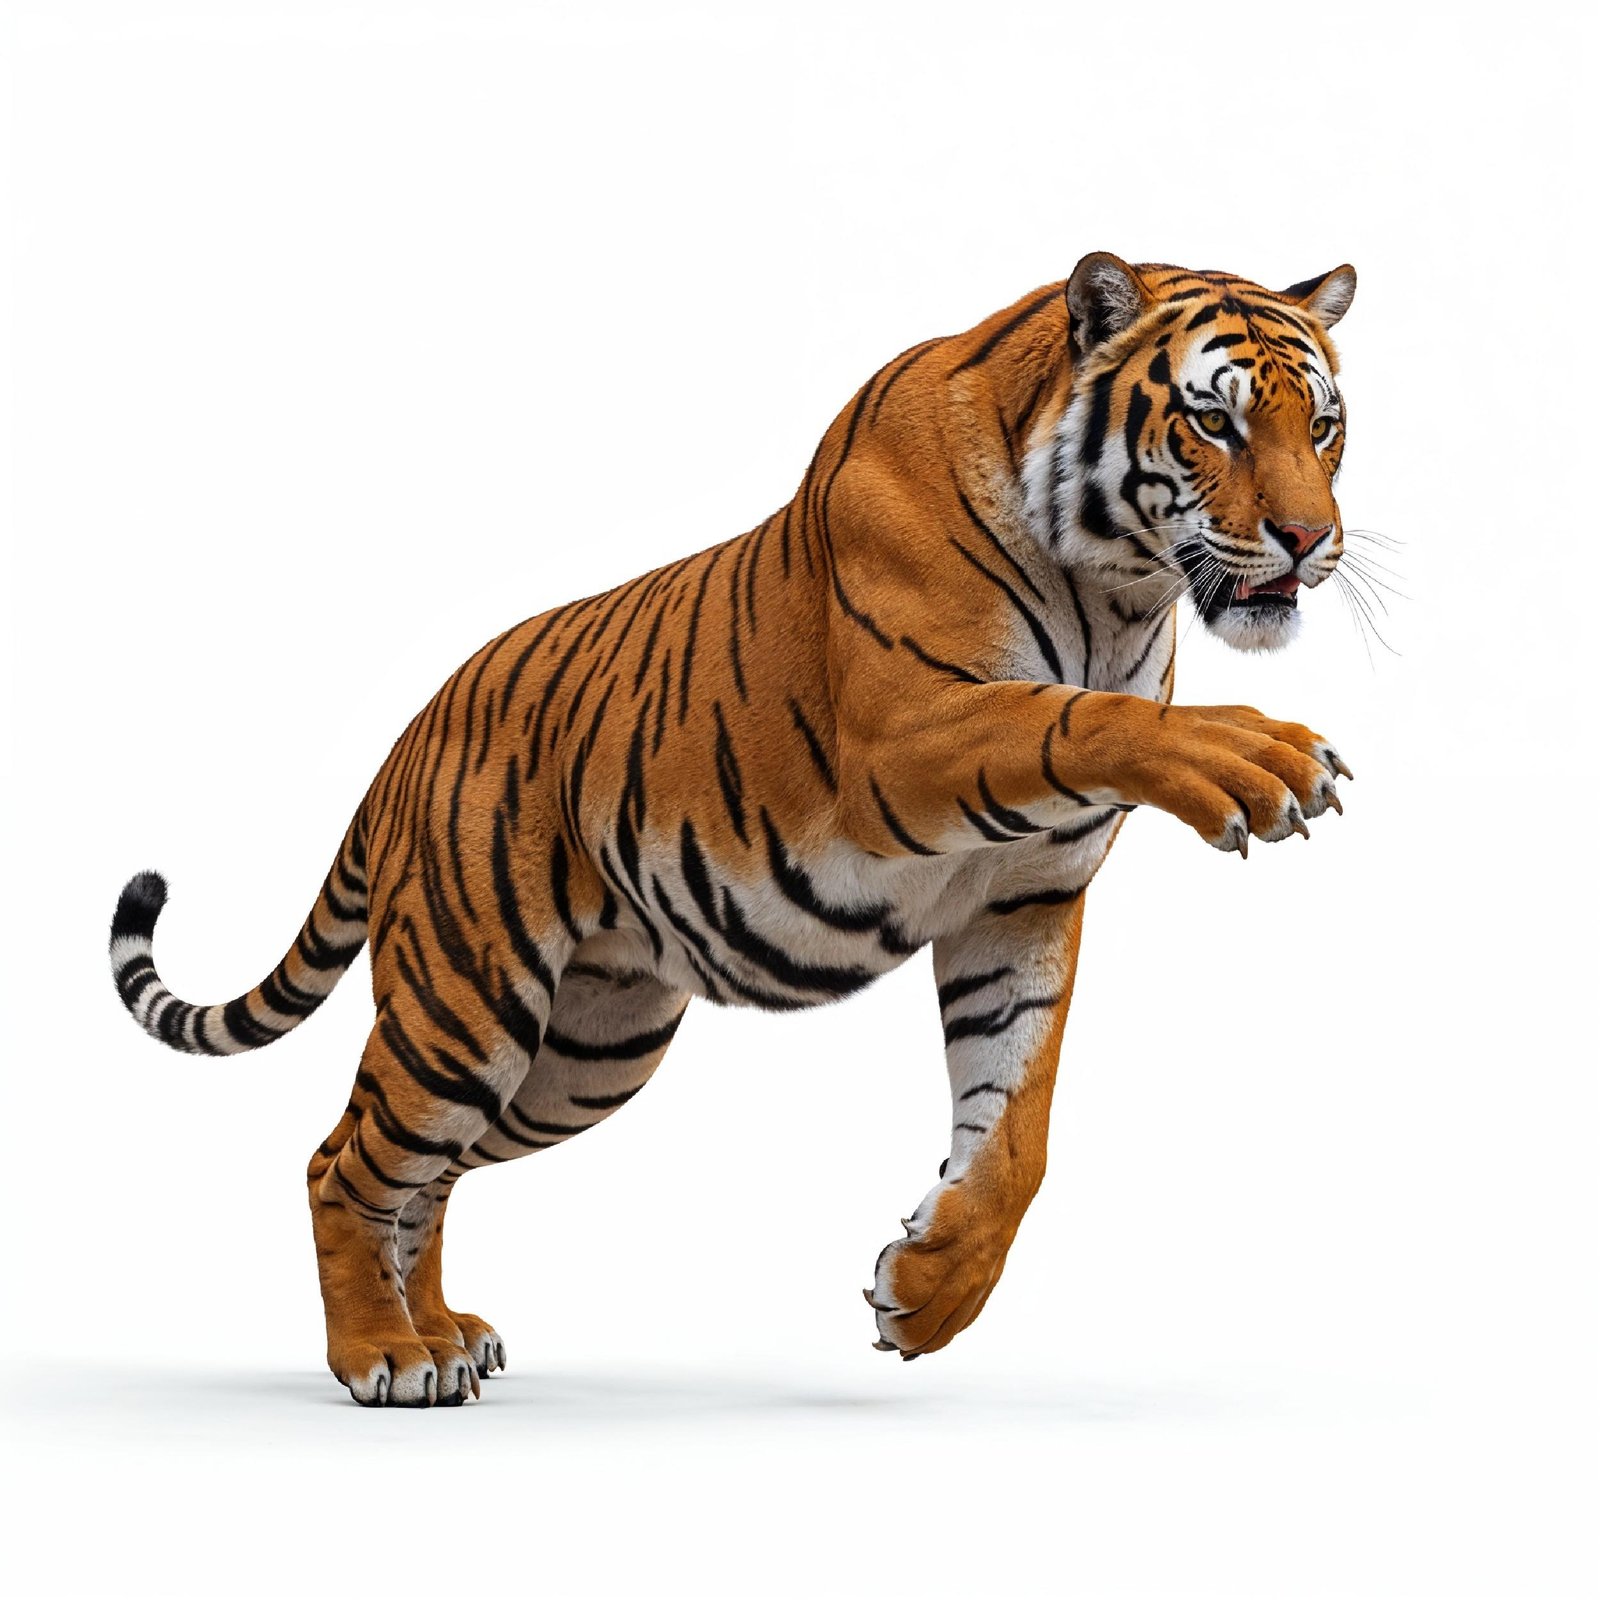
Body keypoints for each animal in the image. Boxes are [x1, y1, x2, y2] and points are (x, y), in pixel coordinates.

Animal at [109, 251, 1359, 1406]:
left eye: (1323, 426)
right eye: (1212, 419)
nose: (1309, 539)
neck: (1115, 592)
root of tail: (409, 739)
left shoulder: (1022, 894)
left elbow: (1016, 1129)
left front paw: (925, 1291)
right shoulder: (903, 740)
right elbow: (1070, 715)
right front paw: (1254, 756)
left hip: (581, 1052)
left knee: (434, 1171)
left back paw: (443, 1334)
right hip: (465, 1005)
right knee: (345, 1160)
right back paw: (382, 1354)